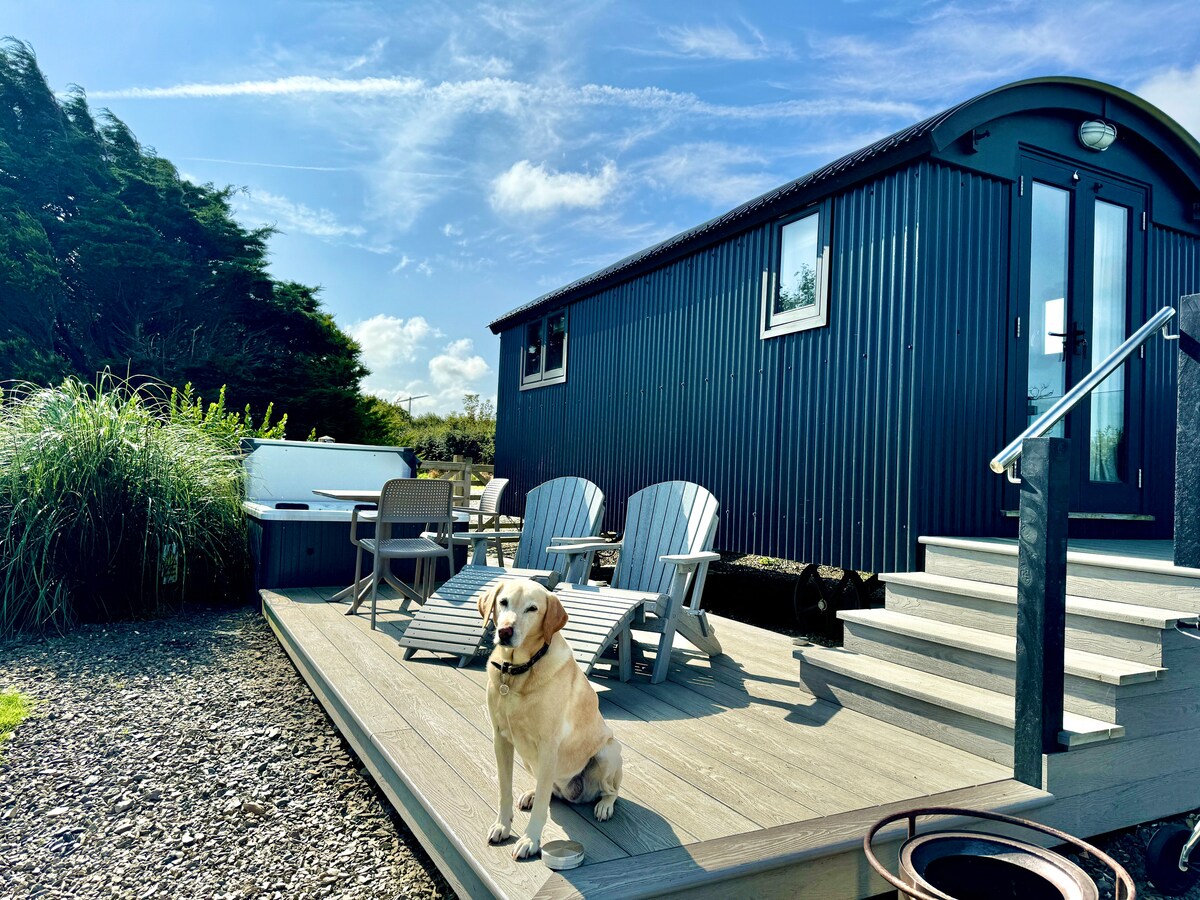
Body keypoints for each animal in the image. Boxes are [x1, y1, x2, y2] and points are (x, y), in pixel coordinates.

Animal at [477, 579, 623, 860]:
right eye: (503, 602)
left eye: (532, 609)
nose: (505, 631)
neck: (516, 673)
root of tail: (572, 794)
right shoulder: (501, 739)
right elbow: (504, 790)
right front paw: (502, 826)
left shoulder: (548, 747)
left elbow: (541, 810)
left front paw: (530, 840)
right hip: (530, 761)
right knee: (549, 790)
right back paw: (533, 794)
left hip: (608, 751)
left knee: (611, 791)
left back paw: (604, 806)